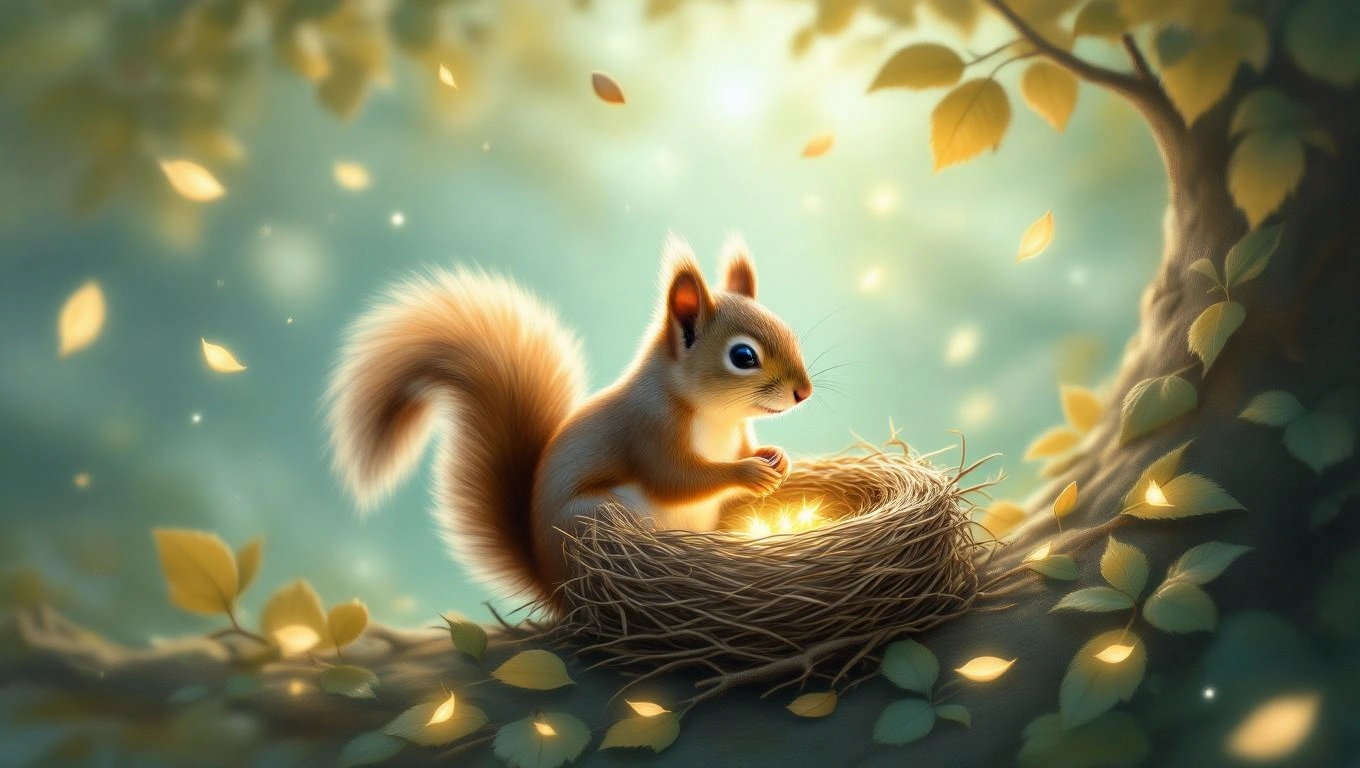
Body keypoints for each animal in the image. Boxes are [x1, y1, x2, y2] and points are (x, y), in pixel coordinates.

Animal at [324, 234, 813, 610]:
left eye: (789, 331)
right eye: (743, 356)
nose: (803, 392)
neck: (717, 416)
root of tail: (554, 590)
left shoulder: (737, 432)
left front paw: (776, 458)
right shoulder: (648, 428)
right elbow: (674, 478)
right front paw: (748, 473)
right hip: (598, 519)